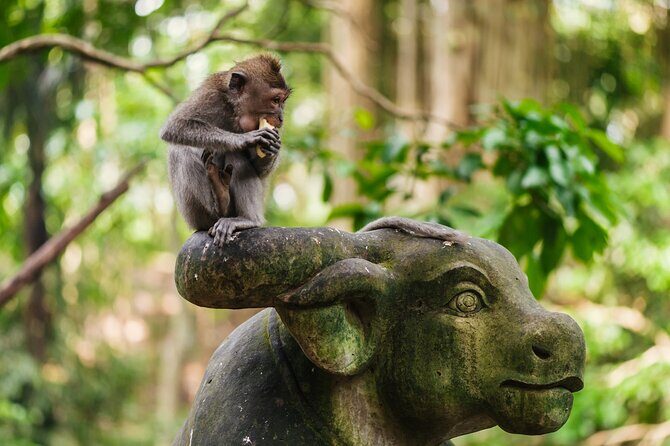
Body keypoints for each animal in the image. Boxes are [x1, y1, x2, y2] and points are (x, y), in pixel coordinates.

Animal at [160, 54, 290, 246]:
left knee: (236, 158)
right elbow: (175, 126)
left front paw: (272, 148)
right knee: (180, 149)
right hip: (196, 217)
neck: (234, 111)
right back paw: (219, 202)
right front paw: (244, 139)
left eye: (283, 101)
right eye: (275, 100)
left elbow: (259, 170)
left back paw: (244, 217)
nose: (281, 118)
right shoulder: (210, 96)